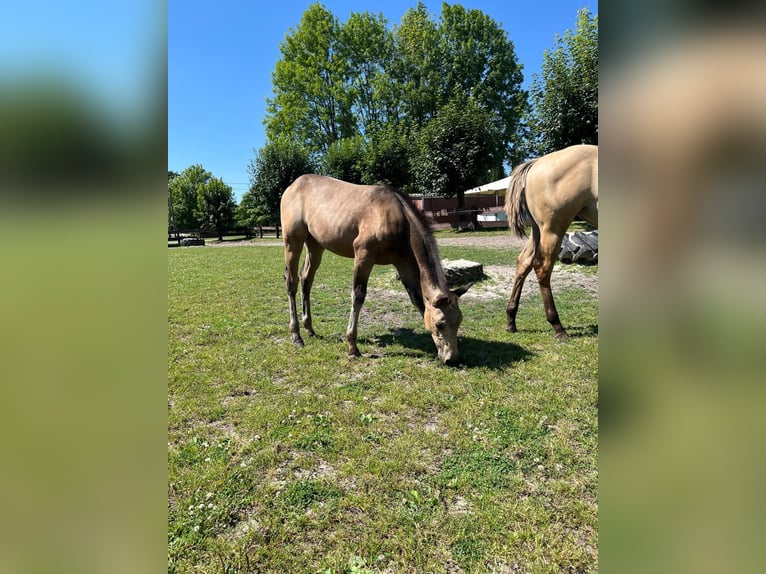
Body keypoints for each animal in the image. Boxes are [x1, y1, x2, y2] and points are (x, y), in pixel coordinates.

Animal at [280, 173, 472, 366]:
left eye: (459, 321)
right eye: (440, 324)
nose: (452, 359)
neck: (399, 218)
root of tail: (293, 185)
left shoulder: (403, 264)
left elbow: (417, 299)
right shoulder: (363, 255)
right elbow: (358, 295)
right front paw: (352, 346)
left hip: (315, 245)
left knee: (306, 280)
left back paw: (309, 328)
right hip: (292, 242)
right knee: (291, 282)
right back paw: (296, 335)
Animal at [508, 145, 604, 342]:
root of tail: (536, 163)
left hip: (538, 230)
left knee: (524, 262)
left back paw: (511, 320)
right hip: (553, 228)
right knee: (542, 268)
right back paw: (557, 326)